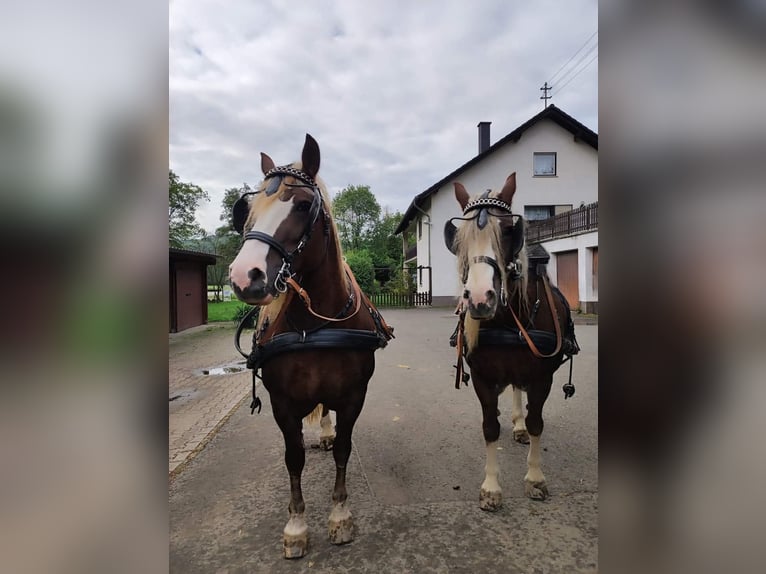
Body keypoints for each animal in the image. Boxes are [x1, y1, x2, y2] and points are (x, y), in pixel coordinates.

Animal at [228, 134, 393, 558]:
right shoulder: (282, 404)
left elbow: (343, 451)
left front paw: (340, 516)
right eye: (248, 210)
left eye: (303, 205)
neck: (317, 326)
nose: (244, 276)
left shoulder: (353, 396)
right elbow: (294, 457)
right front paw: (297, 526)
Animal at [443, 172, 578, 510]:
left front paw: (535, 479)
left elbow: (536, 423)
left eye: (507, 230)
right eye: (459, 237)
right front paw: (491, 487)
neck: (507, 320)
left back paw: (519, 427)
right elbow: (490, 428)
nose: (480, 299)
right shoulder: (481, 377)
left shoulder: (542, 377)